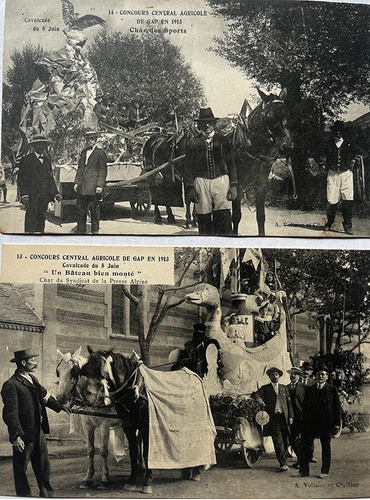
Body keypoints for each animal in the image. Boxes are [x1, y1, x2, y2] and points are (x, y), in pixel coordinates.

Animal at [55, 348, 124, 488]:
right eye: (58, 371)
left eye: (74, 371)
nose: (60, 397)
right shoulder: (87, 425)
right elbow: (90, 450)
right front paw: (88, 477)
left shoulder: (105, 425)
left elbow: (103, 450)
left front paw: (105, 478)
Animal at [80, 348, 215, 492]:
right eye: (84, 370)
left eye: (100, 372)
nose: (87, 398)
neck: (135, 389)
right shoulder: (128, 426)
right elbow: (133, 452)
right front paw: (131, 481)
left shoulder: (146, 426)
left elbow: (146, 453)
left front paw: (147, 483)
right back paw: (186, 470)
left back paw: (196, 472)